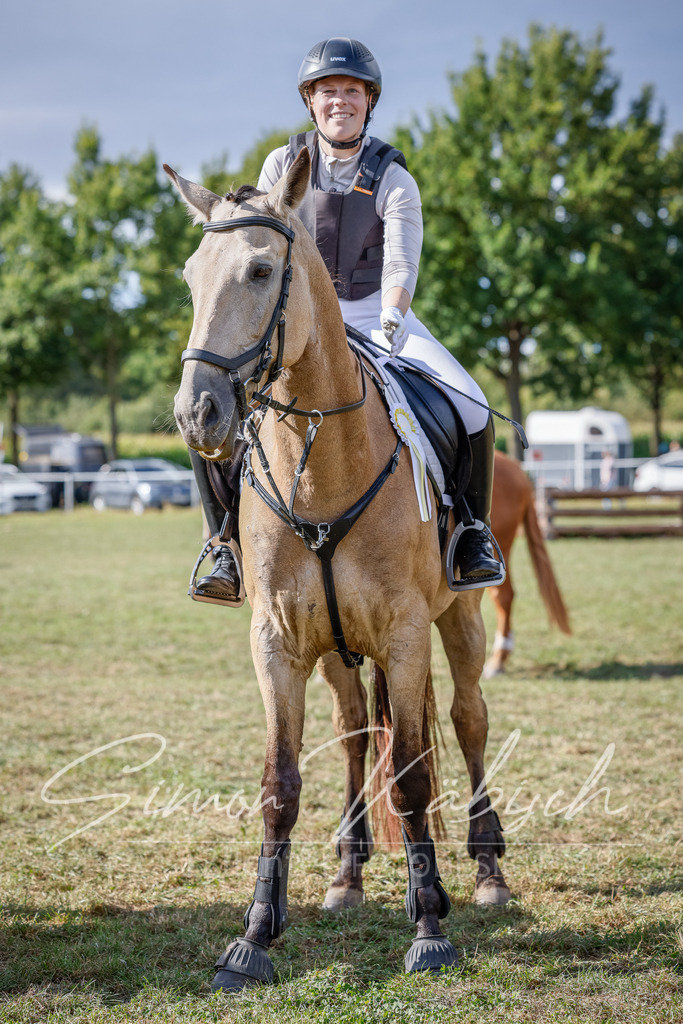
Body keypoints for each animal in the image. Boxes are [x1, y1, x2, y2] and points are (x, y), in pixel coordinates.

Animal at [165, 148, 510, 991]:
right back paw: (348, 876)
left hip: (457, 616)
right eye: (191, 276)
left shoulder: (405, 634)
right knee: (356, 735)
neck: (320, 463)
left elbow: (414, 776)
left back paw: (487, 872)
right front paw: (254, 935)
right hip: (337, 652)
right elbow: (280, 784)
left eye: (260, 270)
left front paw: (428, 928)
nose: (197, 414)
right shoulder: (278, 644)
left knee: (468, 720)